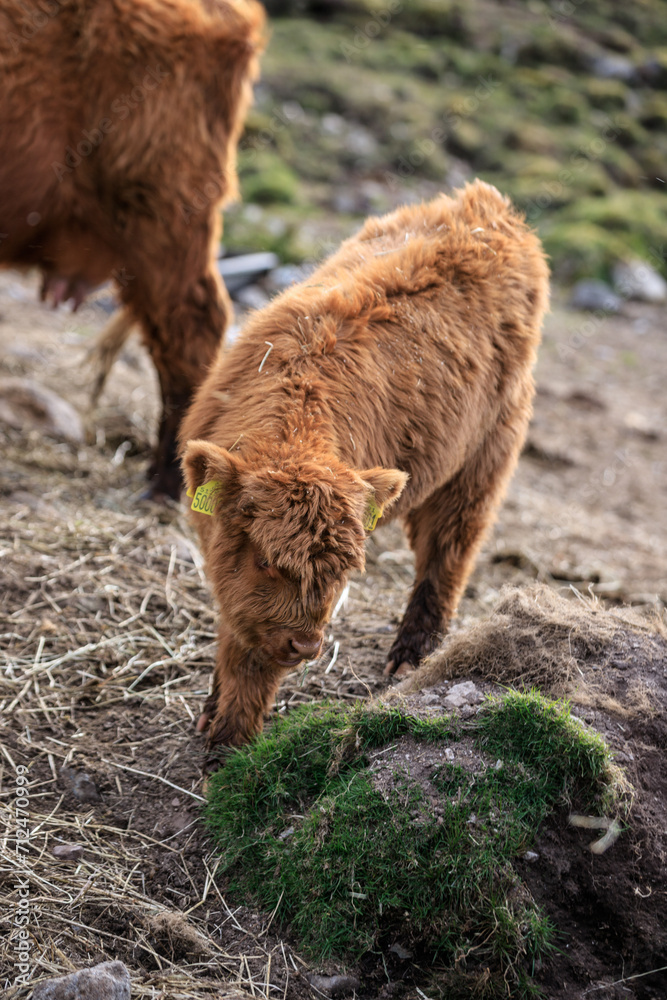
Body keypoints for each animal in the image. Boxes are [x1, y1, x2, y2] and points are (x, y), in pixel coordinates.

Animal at [180, 180, 550, 750]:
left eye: (341, 573)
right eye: (265, 561)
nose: (306, 646)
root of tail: (491, 208)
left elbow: (253, 662)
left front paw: (229, 745)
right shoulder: (228, 563)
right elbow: (237, 622)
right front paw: (211, 713)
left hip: (484, 457)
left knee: (448, 550)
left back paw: (411, 657)